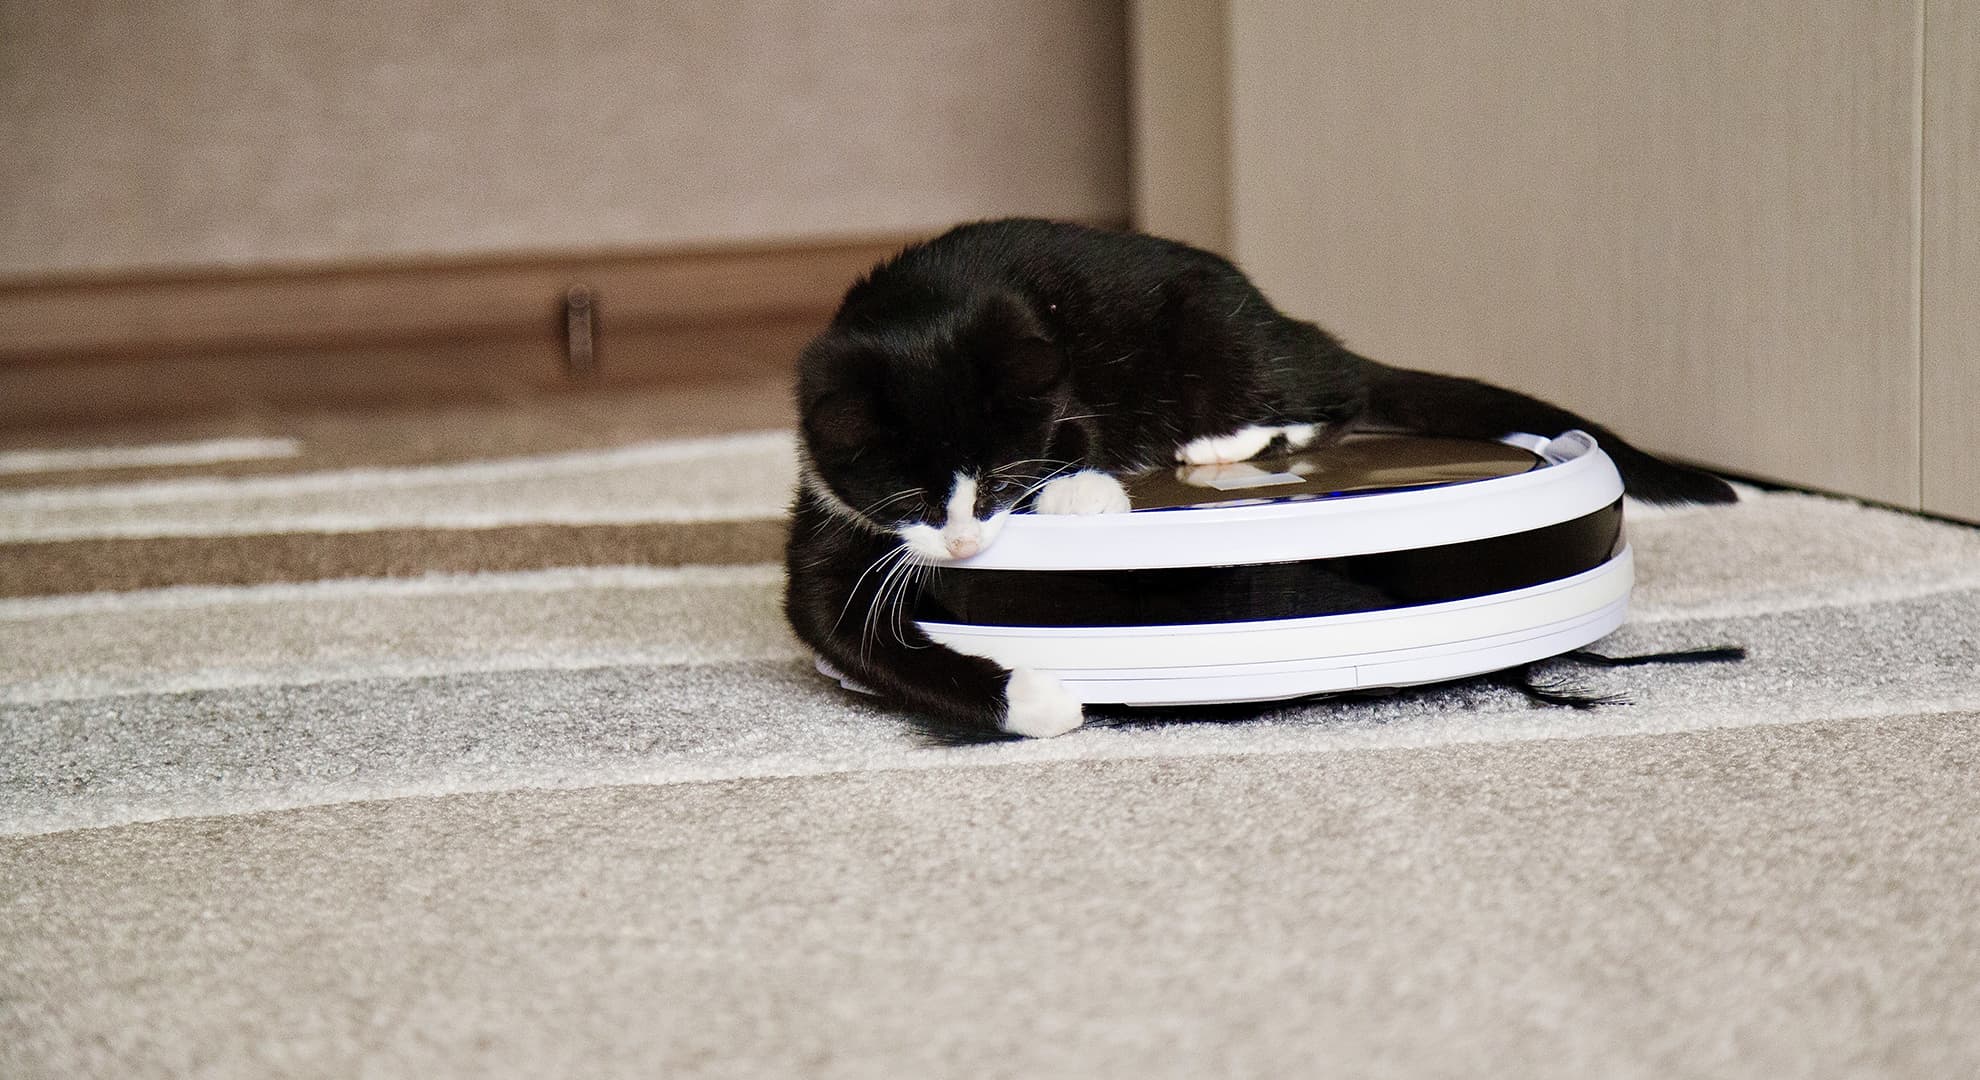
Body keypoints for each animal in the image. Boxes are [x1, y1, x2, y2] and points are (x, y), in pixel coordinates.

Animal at [780, 218, 1726, 741]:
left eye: (1001, 475)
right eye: (908, 498)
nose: (965, 541)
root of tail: (1277, 316)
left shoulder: (1057, 376)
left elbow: (1073, 428)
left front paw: (1080, 487)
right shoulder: (826, 517)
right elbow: (843, 628)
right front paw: (1041, 700)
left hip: (1219, 342)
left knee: (1335, 393)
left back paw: (1222, 440)